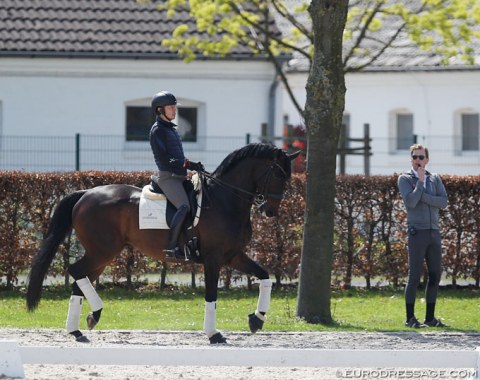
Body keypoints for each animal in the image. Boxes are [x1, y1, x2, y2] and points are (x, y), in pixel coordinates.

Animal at [27, 143, 300, 344]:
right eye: (278, 174)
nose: (270, 211)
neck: (225, 200)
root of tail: (85, 193)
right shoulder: (213, 259)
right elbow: (211, 295)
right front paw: (214, 334)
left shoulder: (234, 256)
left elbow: (264, 276)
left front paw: (257, 319)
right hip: (102, 251)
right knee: (75, 271)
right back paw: (91, 317)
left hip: (101, 255)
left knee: (79, 281)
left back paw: (80, 328)